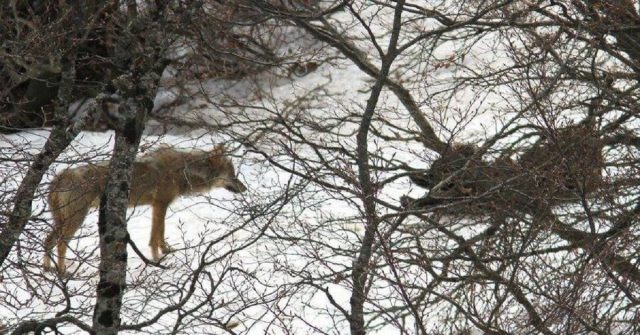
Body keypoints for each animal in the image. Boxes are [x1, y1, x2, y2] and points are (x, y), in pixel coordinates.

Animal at [43, 144, 248, 272]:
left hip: (62, 221)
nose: (245, 188)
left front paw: (166, 252)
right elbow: (155, 237)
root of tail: (59, 177)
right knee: (60, 244)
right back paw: (63, 273)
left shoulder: (158, 206)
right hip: (76, 220)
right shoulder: (160, 205)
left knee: (47, 241)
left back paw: (47, 269)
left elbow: (160, 234)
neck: (183, 171)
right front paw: (157, 260)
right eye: (233, 175)